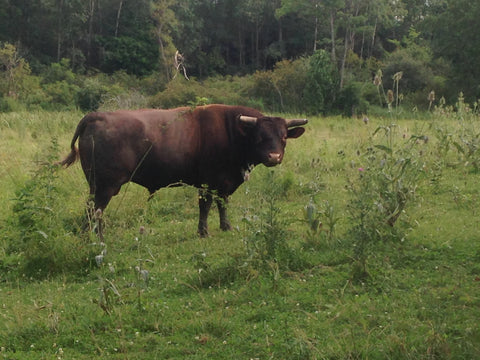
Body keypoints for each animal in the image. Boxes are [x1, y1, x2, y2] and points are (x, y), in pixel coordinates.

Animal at [61, 104, 308, 236]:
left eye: (283, 137)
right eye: (259, 137)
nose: (274, 157)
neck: (231, 132)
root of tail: (97, 115)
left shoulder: (224, 183)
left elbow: (223, 204)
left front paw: (226, 226)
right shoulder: (209, 181)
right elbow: (206, 205)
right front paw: (203, 231)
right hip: (104, 186)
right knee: (94, 210)